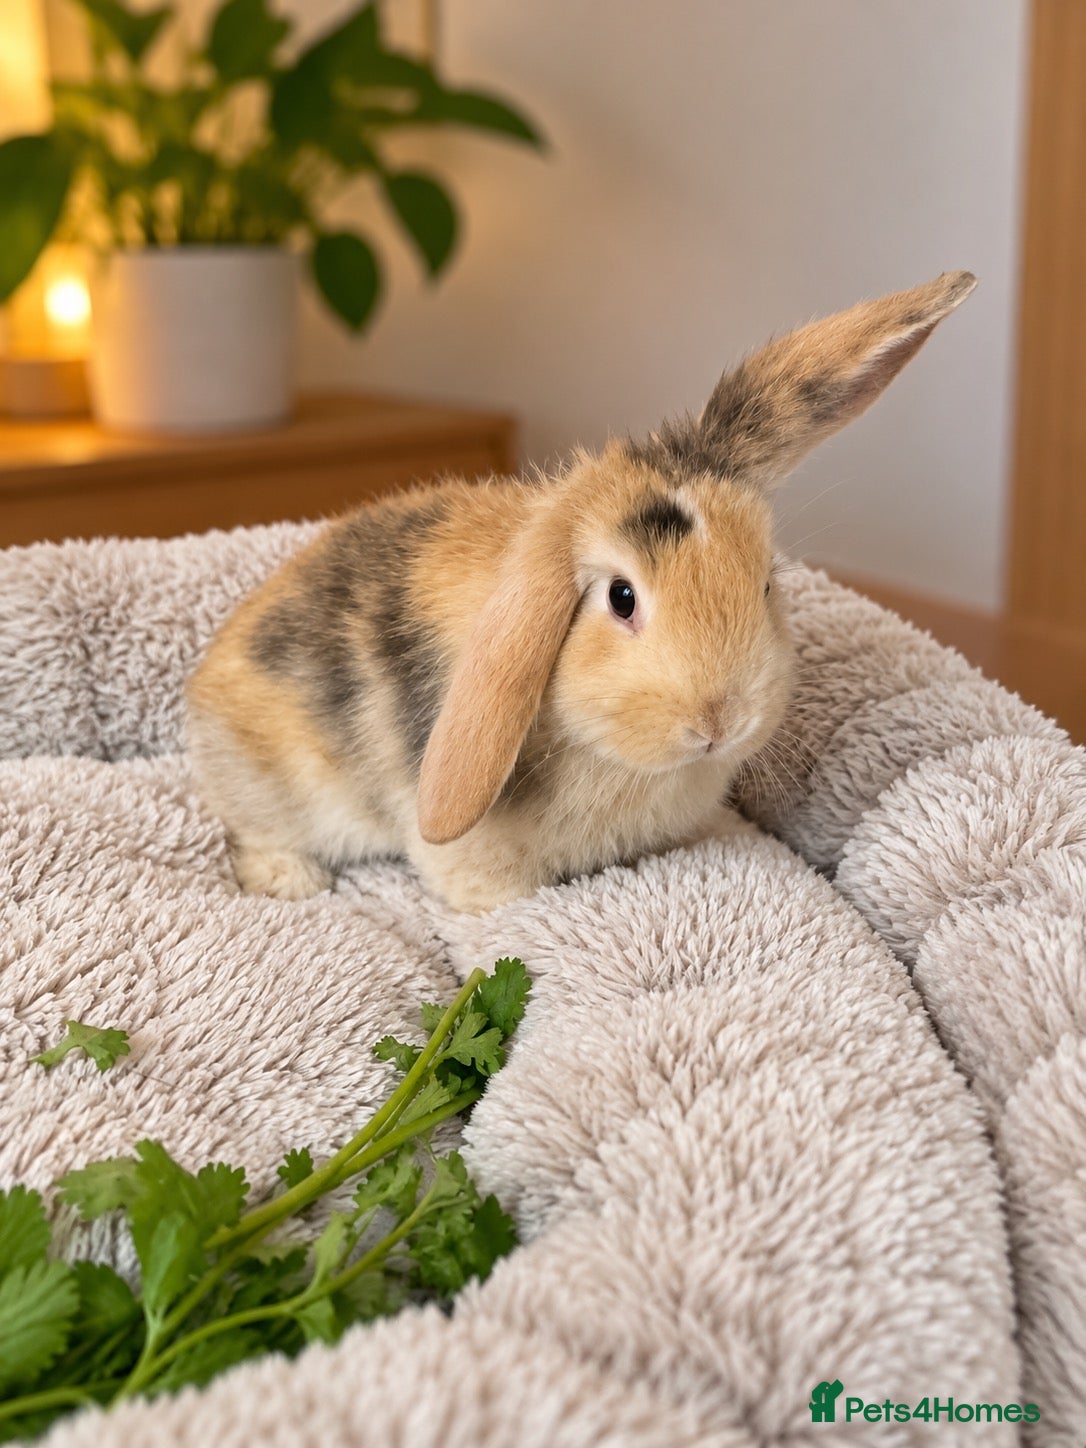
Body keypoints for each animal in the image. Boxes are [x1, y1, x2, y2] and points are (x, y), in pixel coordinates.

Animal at [186, 270, 976, 913]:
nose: (718, 720)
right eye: (621, 598)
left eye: (766, 583)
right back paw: (293, 881)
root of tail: (203, 686)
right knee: (251, 829)